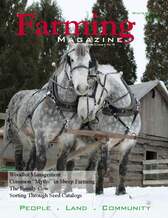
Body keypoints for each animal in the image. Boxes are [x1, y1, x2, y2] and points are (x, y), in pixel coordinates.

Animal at [3, 42, 93, 171]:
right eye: (71, 59)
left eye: (89, 61)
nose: (82, 87)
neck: (62, 105)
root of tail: (16, 95)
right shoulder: (42, 137)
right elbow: (41, 163)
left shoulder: (67, 139)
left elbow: (61, 164)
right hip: (17, 137)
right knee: (19, 161)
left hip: (32, 139)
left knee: (30, 163)